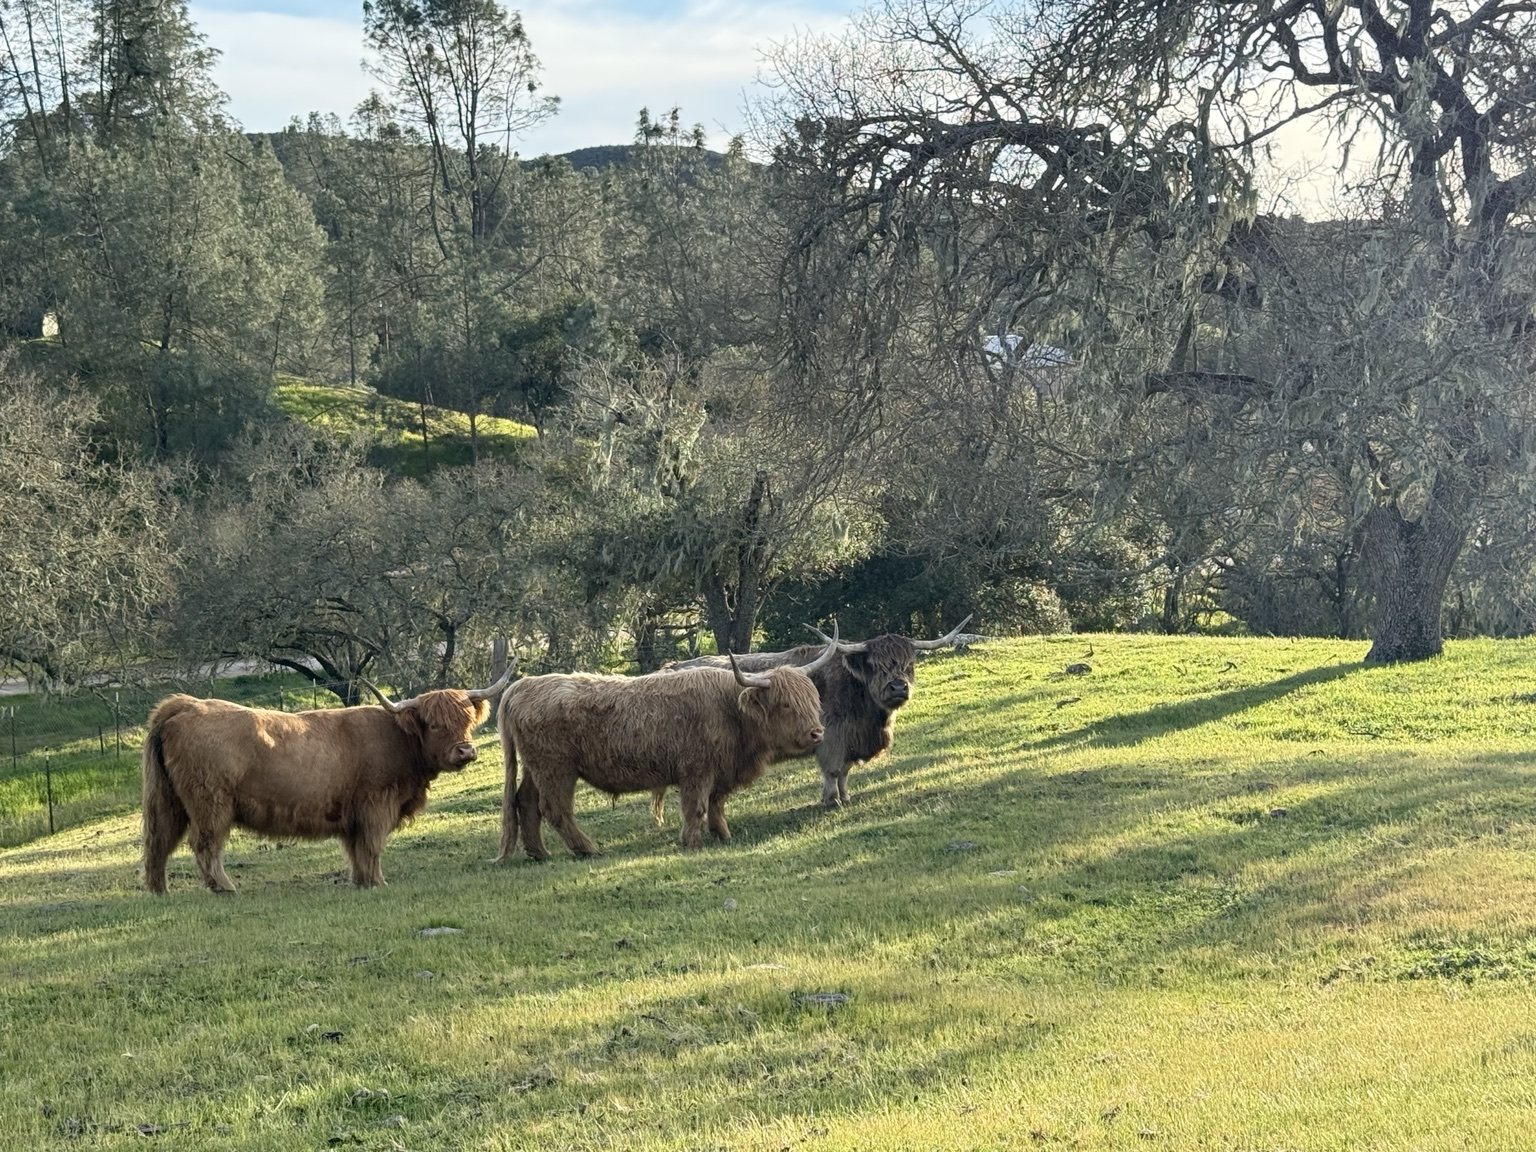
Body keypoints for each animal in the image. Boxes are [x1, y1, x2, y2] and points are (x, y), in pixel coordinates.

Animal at [140, 664, 515, 893]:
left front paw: (362, 882)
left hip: (168, 801)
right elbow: (372, 847)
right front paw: (378, 882)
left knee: (159, 842)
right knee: (204, 844)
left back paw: (160, 891)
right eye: (435, 724)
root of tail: (185, 705)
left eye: (466, 719)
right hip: (211, 803)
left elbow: (356, 851)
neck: (400, 739)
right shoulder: (376, 804)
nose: (465, 751)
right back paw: (225, 887)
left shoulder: (353, 816)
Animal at [495, 630, 839, 861]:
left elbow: (717, 804)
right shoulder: (696, 770)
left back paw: (540, 853)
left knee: (525, 802)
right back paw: (587, 848)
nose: (817, 733)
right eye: (785, 704)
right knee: (555, 809)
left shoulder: (720, 770)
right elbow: (696, 806)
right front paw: (693, 842)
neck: (730, 710)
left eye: (813, 699)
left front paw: (723, 835)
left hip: (535, 768)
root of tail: (522, 686)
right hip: (556, 768)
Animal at [663, 615, 972, 809]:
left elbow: (845, 771)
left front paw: (845, 797)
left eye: (909, 664)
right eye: (876, 665)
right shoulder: (831, 736)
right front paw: (832, 800)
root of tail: (670, 668)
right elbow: (833, 770)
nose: (898, 687)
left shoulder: (847, 740)